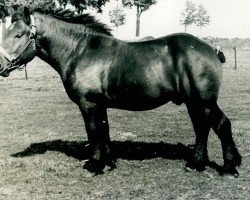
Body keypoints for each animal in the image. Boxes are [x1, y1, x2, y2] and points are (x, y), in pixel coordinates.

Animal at [0, 7, 241, 176]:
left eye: (18, 35)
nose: (1, 66)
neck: (80, 50)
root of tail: (211, 49)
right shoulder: (100, 105)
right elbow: (103, 131)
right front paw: (107, 162)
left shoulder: (89, 104)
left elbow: (93, 131)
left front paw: (94, 165)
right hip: (194, 103)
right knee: (202, 127)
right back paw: (196, 164)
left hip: (205, 101)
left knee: (221, 124)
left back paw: (230, 166)